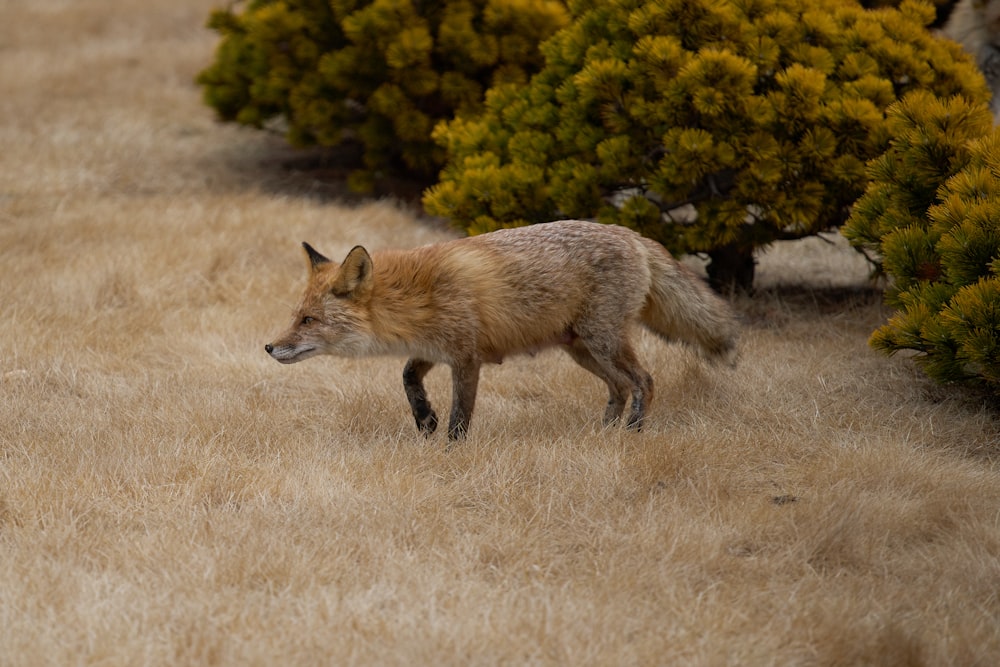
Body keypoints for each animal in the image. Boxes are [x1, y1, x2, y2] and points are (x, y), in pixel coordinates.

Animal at [262, 219, 740, 440]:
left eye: (308, 320)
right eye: (296, 315)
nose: (268, 347)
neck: (414, 296)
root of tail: (632, 233)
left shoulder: (467, 357)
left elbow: (461, 415)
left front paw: (449, 452)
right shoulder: (435, 350)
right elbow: (407, 377)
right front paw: (424, 419)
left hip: (602, 342)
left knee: (644, 381)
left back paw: (631, 433)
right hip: (582, 349)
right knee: (620, 387)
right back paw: (602, 433)